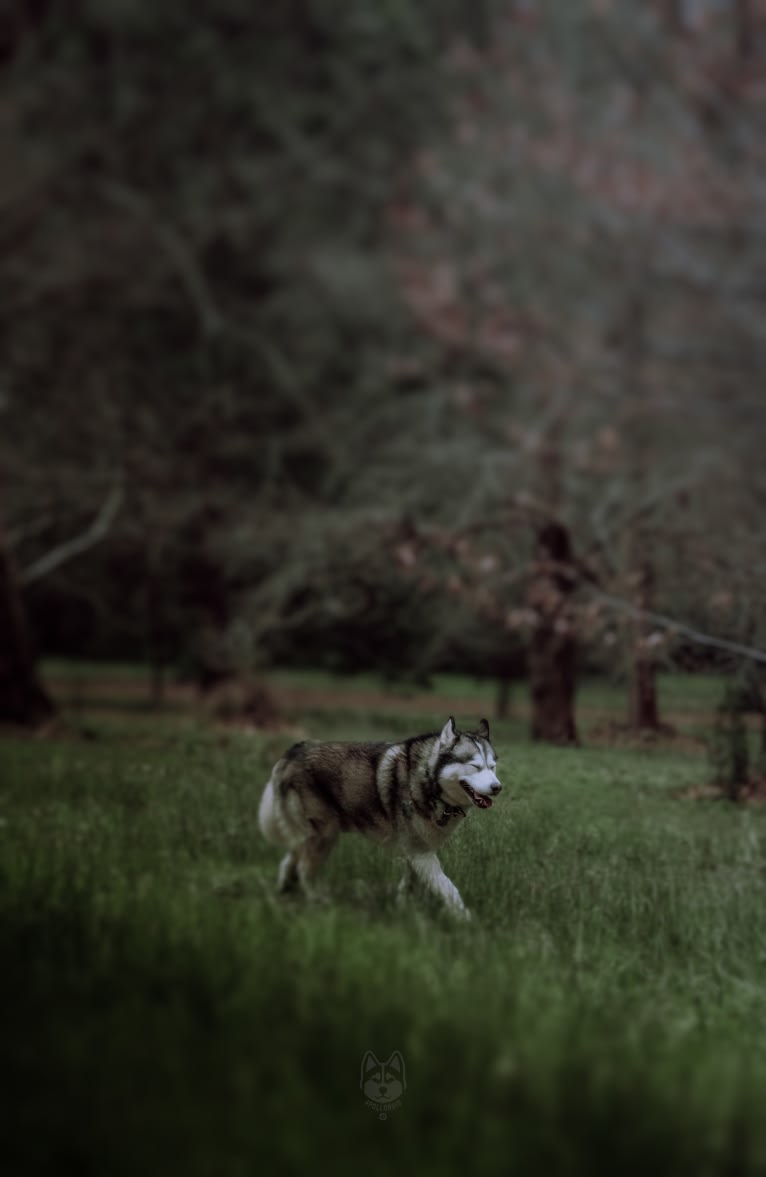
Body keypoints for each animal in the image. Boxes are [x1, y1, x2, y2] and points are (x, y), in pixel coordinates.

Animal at [257, 715, 503, 918]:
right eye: (475, 766)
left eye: (492, 767)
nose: (497, 787)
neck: (428, 781)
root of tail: (293, 751)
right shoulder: (421, 853)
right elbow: (448, 888)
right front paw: (466, 920)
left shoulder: (415, 853)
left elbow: (409, 884)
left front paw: (401, 907)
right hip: (323, 835)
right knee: (304, 869)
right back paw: (316, 901)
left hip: (313, 835)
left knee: (289, 861)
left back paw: (284, 891)